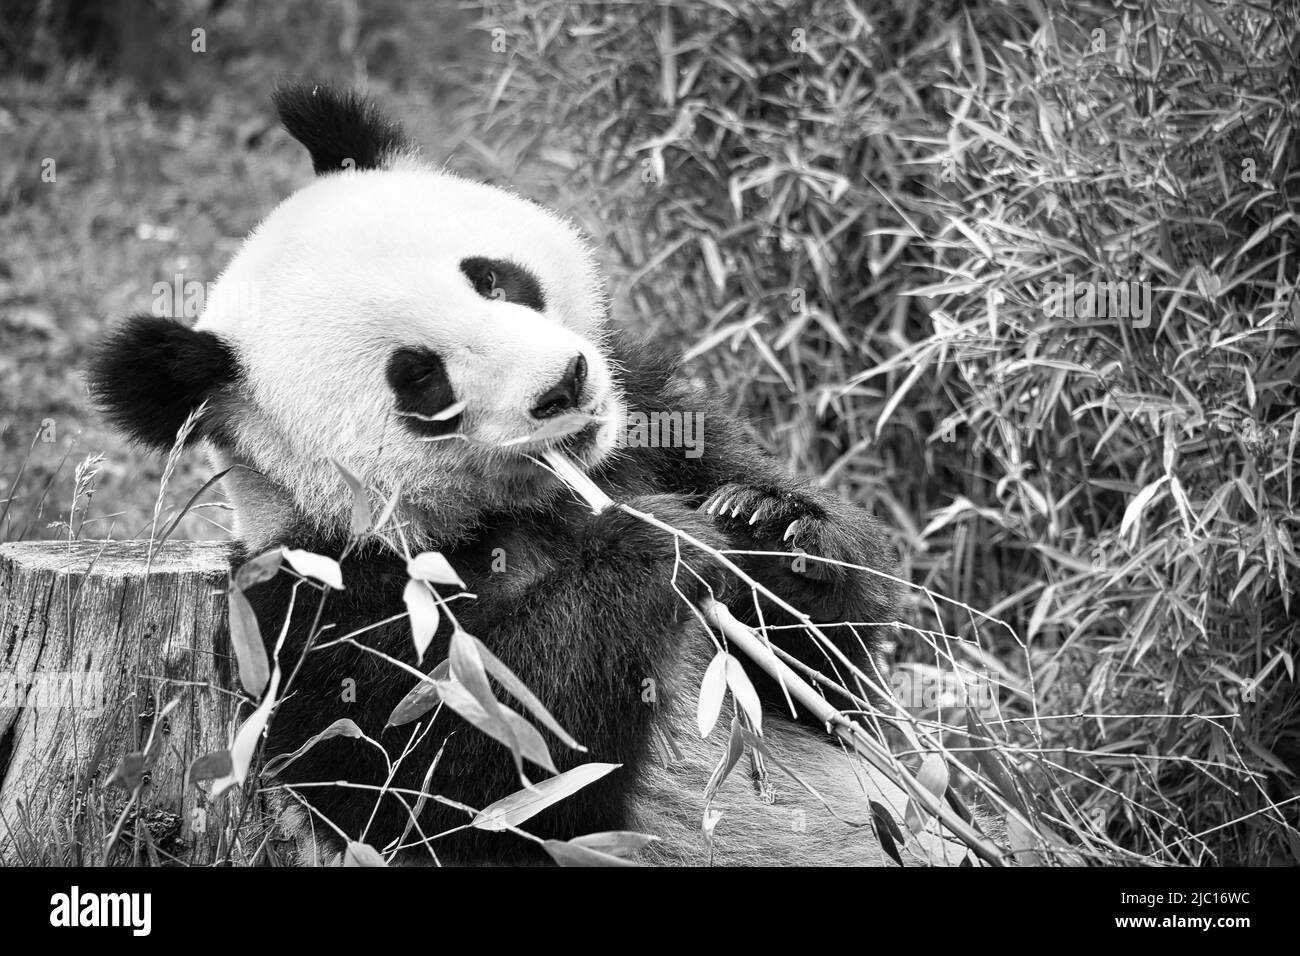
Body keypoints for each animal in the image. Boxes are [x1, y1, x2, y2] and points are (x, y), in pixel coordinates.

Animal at [83, 83, 956, 868]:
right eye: (421, 380)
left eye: (492, 277)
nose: (563, 385)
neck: (526, 507)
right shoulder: (311, 604)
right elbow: (467, 769)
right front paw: (660, 547)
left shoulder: (656, 430)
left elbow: (821, 685)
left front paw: (777, 527)